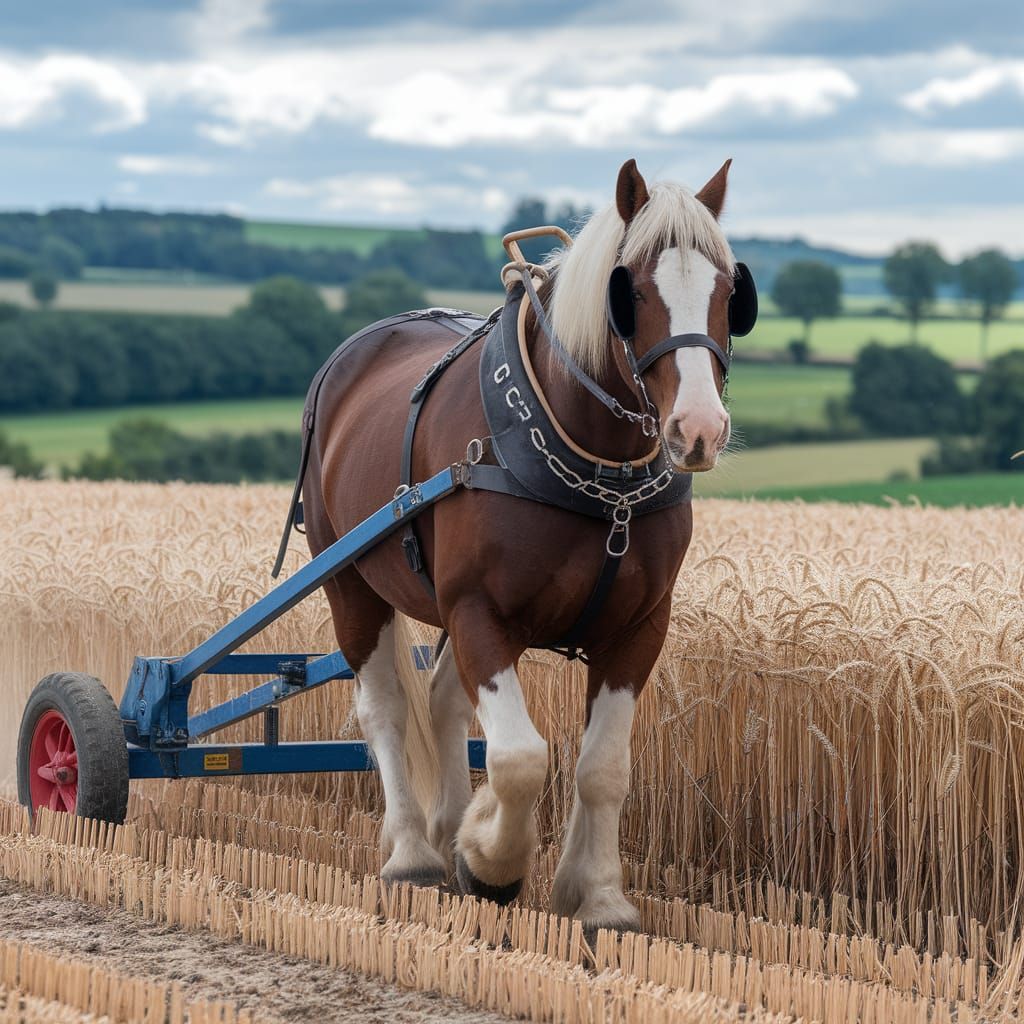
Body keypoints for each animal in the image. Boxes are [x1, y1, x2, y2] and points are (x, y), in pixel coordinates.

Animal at [300, 158, 749, 935]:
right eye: (630, 293)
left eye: (730, 291)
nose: (698, 428)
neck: (602, 477)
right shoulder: (481, 612)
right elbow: (518, 757)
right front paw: (493, 863)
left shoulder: (639, 628)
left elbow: (603, 766)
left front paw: (597, 895)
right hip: (350, 582)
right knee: (386, 707)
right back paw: (415, 853)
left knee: (444, 703)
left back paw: (448, 825)